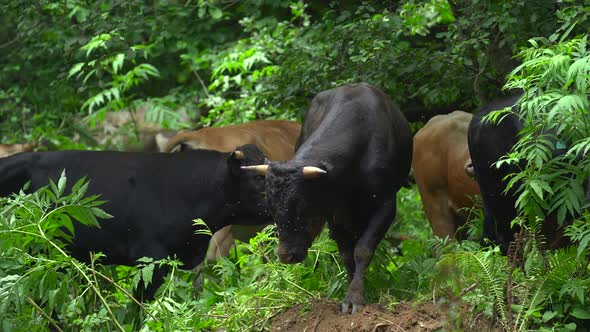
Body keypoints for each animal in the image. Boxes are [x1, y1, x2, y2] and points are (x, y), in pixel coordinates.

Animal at [243, 83, 414, 314]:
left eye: (301, 206)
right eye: (271, 209)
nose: (286, 255)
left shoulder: (386, 204)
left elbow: (363, 249)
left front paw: (355, 297)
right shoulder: (334, 213)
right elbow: (347, 254)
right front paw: (351, 292)